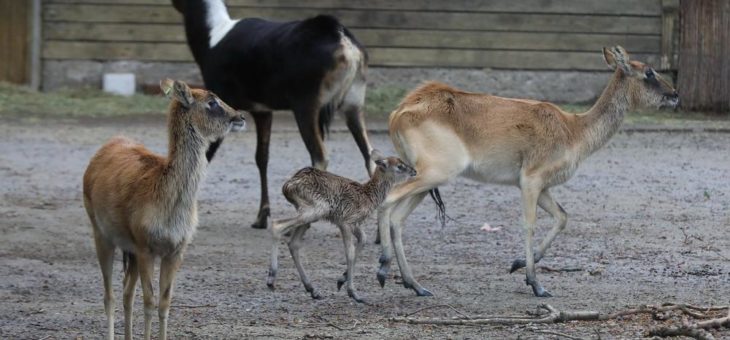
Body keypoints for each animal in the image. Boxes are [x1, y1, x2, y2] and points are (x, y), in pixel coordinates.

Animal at [81, 78, 243, 338]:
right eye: (212, 102)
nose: (240, 116)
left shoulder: (176, 248)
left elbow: (165, 303)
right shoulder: (145, 244)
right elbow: (149, 301)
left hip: (129, 247)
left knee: (126, 291)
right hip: (101, 231)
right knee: (110, 295)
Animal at [268, 150, 416, 302]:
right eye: (399, 166)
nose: (414, 171)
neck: (367, 196)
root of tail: (287, 185)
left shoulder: (354, 224)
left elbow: (363, 241)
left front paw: (341, 280)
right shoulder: (345, 222)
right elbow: (349, 252)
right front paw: (354, 293)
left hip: (308, 214)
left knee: (293, 243)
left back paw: (313, 290)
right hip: (316, 210)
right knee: (276, 225)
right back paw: (271, 279)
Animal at [376, 45, 676, 298]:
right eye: (649, 72)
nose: (675, 95)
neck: (574, 130)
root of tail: (399, 112)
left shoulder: (541, 187)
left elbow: (562, 217)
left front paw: (518, 264)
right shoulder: (531, 181)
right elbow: (529, 224)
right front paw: (536, 284)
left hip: (425, 180)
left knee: (398, 218)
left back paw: (415, 285)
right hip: (435, 174)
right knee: (387, 201)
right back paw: (382, 268)